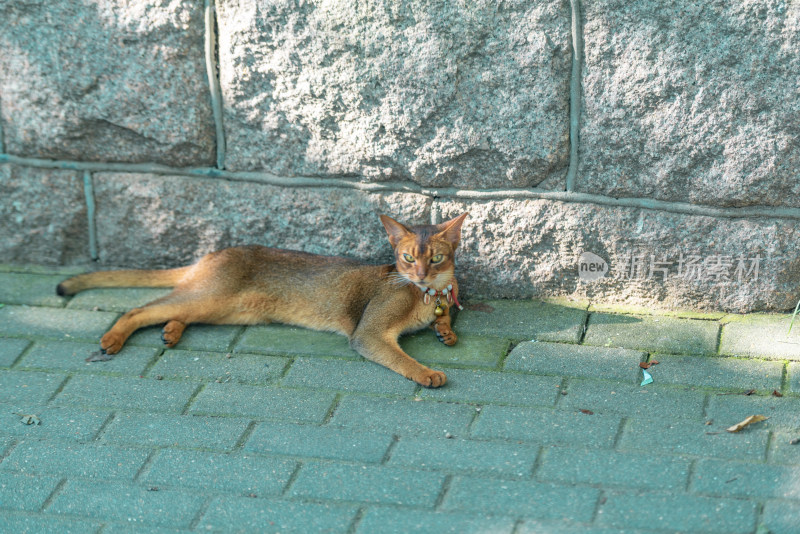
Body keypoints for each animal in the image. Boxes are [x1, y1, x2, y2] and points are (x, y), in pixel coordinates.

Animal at [57, 214, 468, 390]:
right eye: (407, 258)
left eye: (435, 258)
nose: (420, 276)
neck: (428, 294)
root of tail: (212, 254)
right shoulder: (369, 332)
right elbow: (400, 359)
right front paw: (427, 372)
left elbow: (447, 317)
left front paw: (445, 331)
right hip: (214, 296)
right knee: (141, 308)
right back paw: (113, 339)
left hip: (229, 310)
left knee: (178, 312)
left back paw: (171, 333)